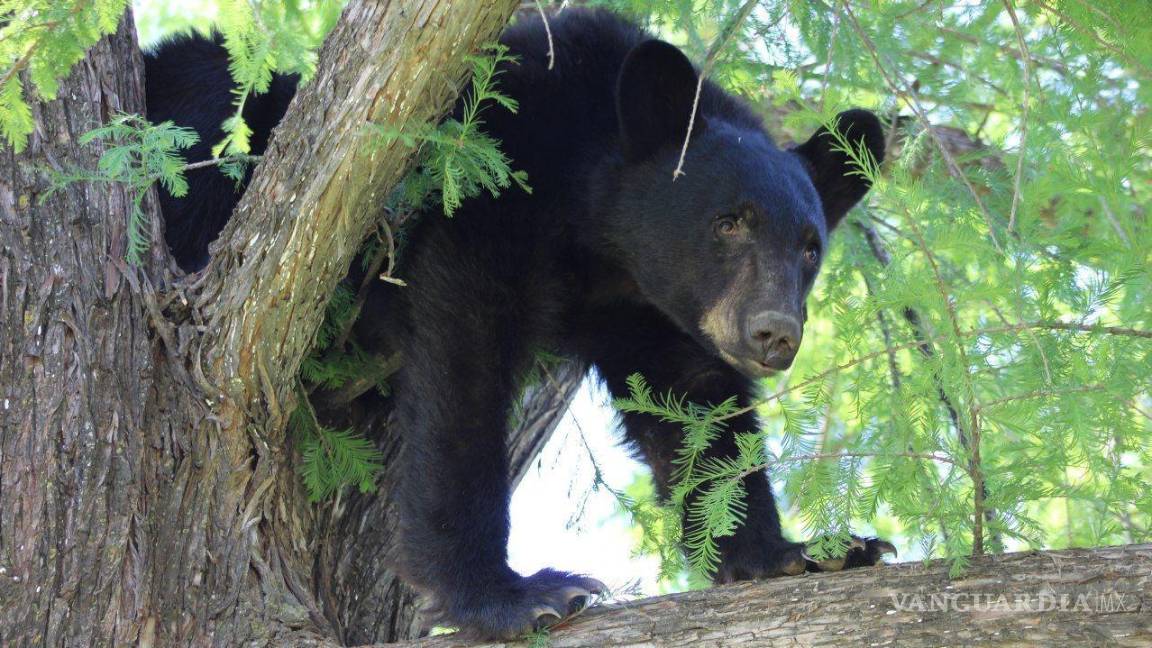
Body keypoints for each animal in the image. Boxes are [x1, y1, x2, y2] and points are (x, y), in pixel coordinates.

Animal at [146, 7, 889, 636]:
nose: (774, 333)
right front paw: (511, 594)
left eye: (810, 247)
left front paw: (795, 550)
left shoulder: (650, 308)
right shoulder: (491, 181)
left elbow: (696, 407)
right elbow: (463, 367)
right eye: (729, 221)